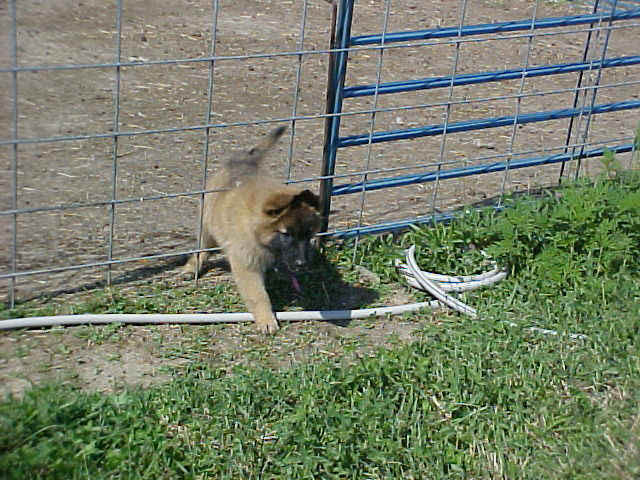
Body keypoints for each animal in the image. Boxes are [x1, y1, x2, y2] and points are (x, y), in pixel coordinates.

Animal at [184, 125, 322, 332]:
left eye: (308, 235)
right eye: (286, 234)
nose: (302, 263)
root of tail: (244, 160)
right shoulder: (246, 264)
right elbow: (258, 295)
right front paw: (266, 319)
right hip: (206, 221)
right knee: (202, 248)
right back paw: (192, 266)